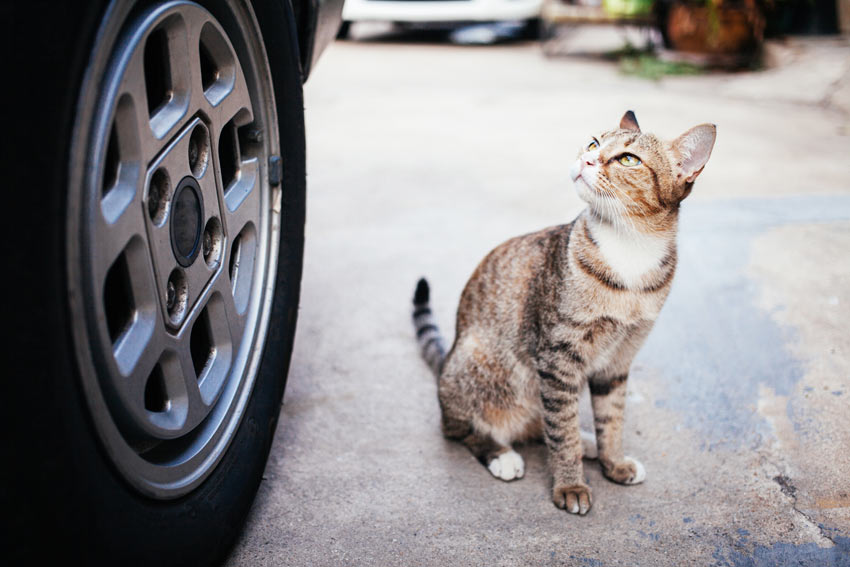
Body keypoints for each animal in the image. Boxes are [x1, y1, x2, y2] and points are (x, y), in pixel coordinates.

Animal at [410, 111, 716, 516]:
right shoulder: (557, 358)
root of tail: (447, 359)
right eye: (593, 144)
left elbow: (610, 418)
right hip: (476, 364)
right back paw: (501, 455)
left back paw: (587, 443)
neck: (630, 249)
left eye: (628, 159)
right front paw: (570, 484)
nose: (587, 160)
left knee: (544, 424)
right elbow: (562, 431)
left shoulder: (618, 361)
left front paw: (613, 461)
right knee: (463, 429)